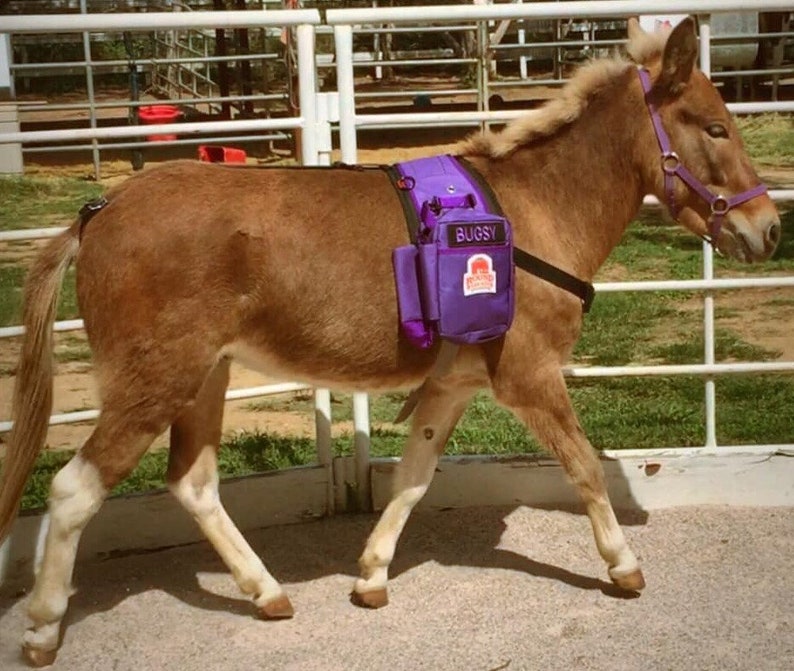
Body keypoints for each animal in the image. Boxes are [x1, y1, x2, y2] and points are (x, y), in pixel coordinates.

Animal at [0, 17, 780, 666]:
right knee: (75, 489)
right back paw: (41, 627)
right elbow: (584, 467)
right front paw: (623, 565)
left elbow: (412, 477)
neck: (529, 215)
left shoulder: (454, 383)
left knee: (192, 483)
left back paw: (267, 592)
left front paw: (372, 575)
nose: (769, 229)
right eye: (715, 127)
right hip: (155, 380)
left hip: (203, 378)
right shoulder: (530, 376)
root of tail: (99, 213)